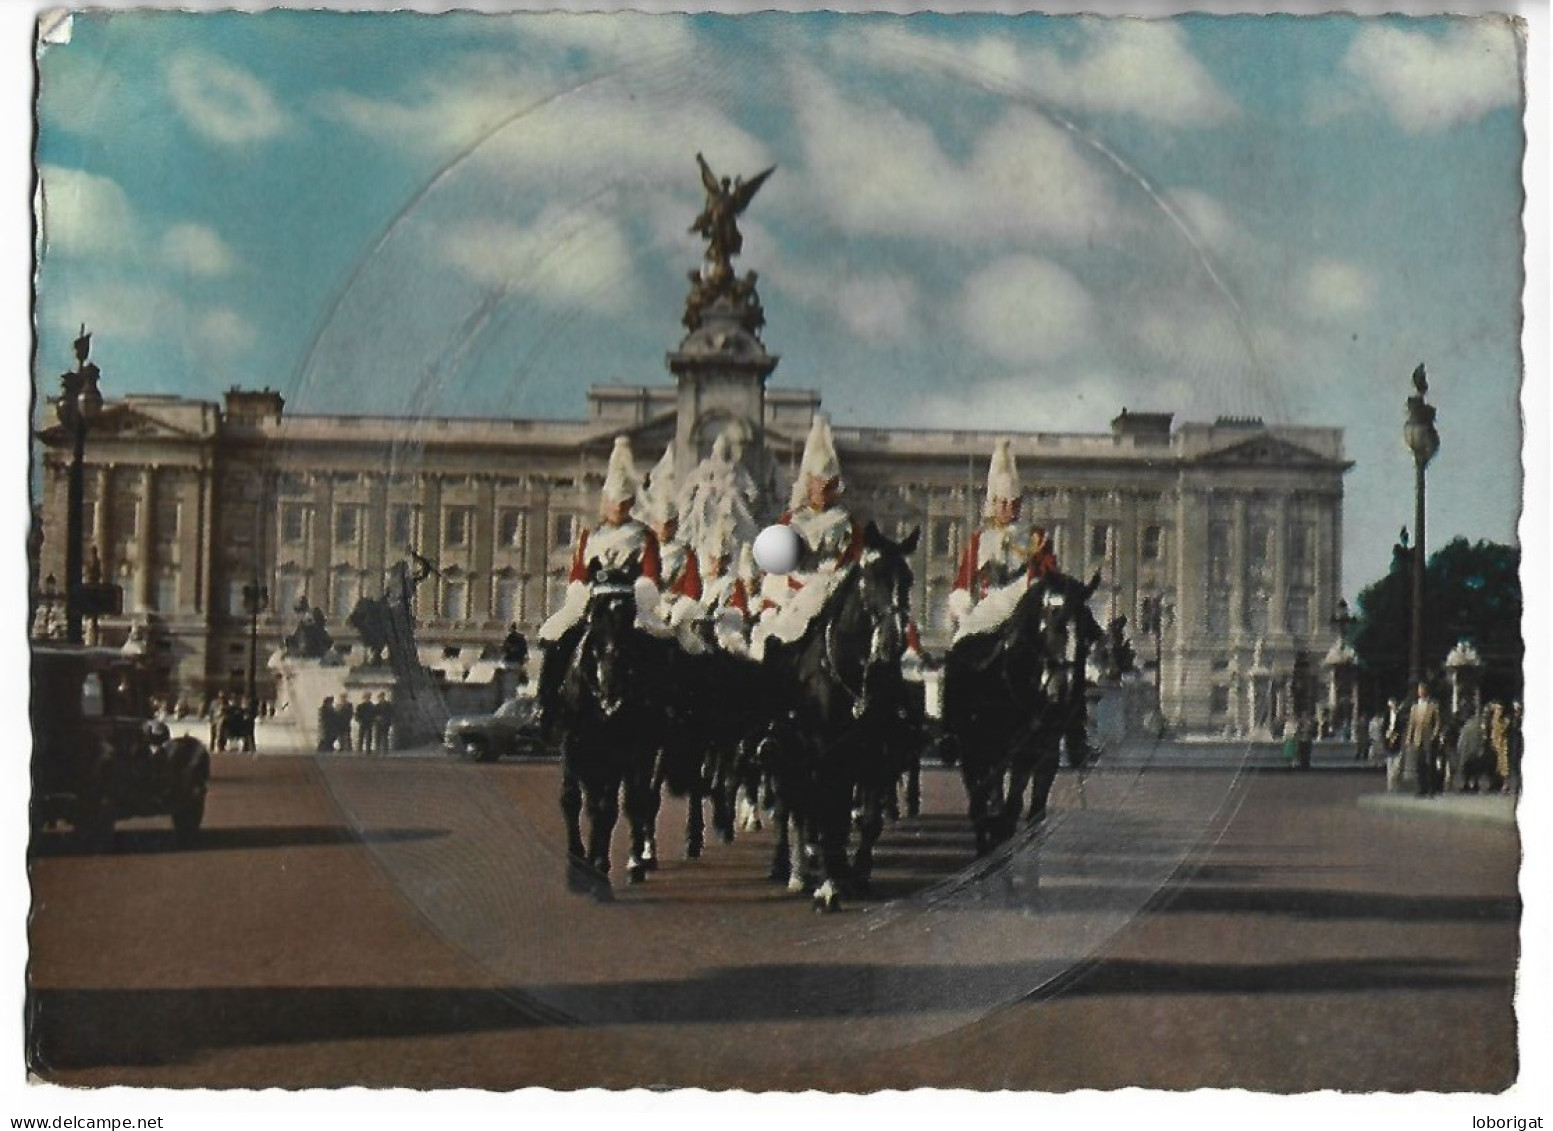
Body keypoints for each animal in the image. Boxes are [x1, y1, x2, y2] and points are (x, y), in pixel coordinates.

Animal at [540, 562, 674, 888]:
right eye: (596, 610)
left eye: (630, 610)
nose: (610, 682)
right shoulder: (574, 745)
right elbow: (574, 800)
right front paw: (579, 857)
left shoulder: (629, 750)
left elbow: (614, 806)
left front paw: (605, 861)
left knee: (641, 799)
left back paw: (640, 856)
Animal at [754, 522, 913, 907]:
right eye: (872, 577)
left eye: (908, 579)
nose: (894, 640)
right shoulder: (824, 752)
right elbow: (828, 813)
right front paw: (829, 884)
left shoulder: (875, 755)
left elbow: (863, 818)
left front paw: (855, 875)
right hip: (784, 755)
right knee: (790, 806)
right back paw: (790, 869)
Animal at [931, 568, 1105, 851]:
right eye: (1049, 623)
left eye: (1087, 632)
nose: (1065, 690)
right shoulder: (999, 753)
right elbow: (1002, 813)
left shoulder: (1042, 755)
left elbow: (1033, 815)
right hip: (974, 752)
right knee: (979, 805)